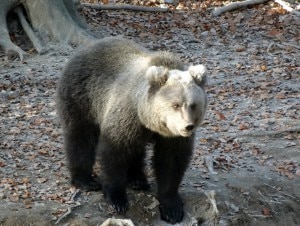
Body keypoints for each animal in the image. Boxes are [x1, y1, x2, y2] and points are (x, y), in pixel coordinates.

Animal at [56, 37, 207, 224]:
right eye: (176, 104)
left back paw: (137, 179)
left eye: (193, 105)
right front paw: (117, 199)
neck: (149, 119)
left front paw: (172, 208)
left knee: (136, 149)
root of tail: (86, 47)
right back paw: (85, 180)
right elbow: (115, 152)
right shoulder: (127, 116)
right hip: (82, 97)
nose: (187, 126)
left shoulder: (172, 137)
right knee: (80, 137)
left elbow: (171, 161)